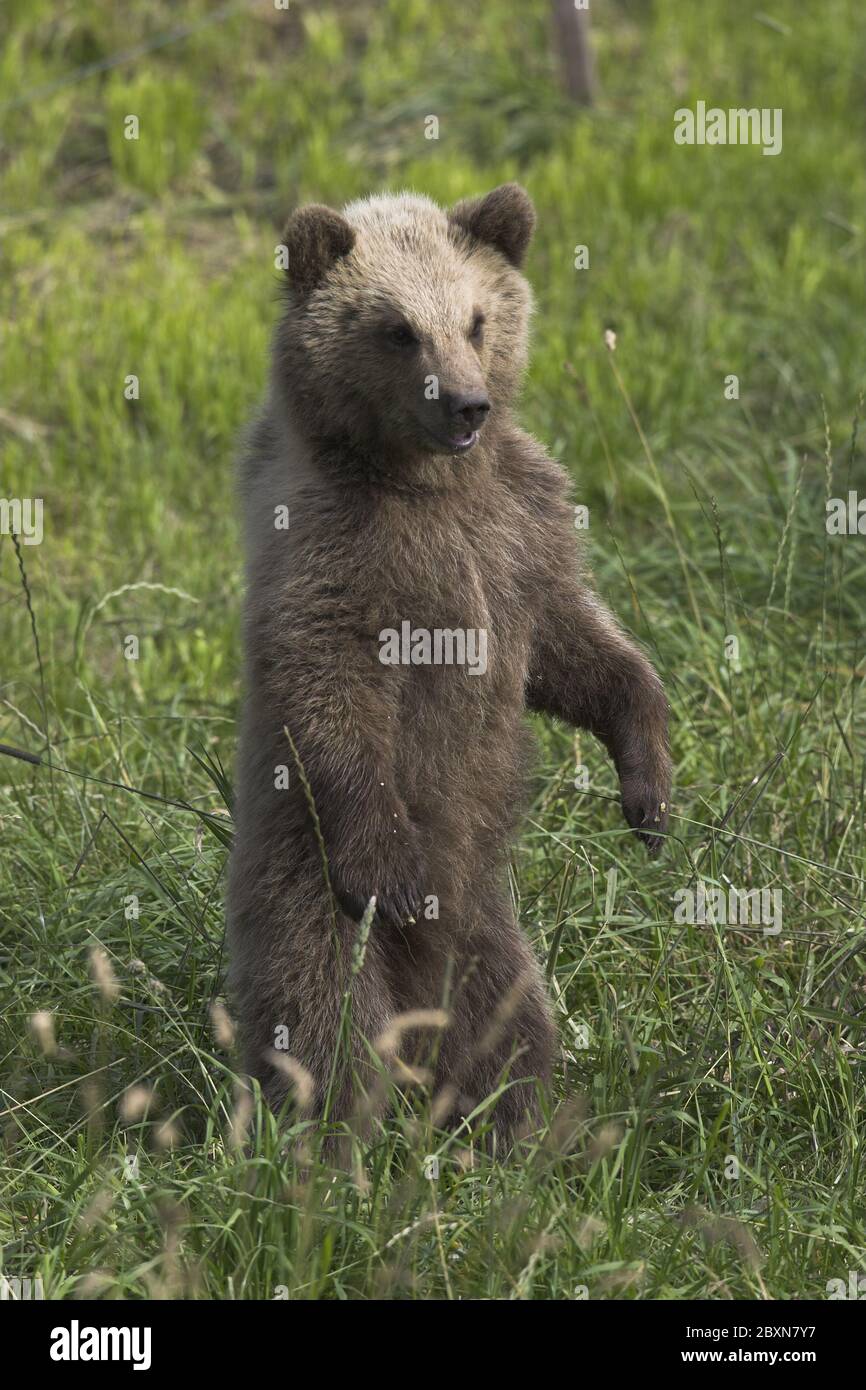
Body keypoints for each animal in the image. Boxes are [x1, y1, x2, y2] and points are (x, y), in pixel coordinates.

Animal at [227, 184, 671, 1146]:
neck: (425, 483)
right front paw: (391, 868)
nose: (467, 406)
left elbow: (577, 646)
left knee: (509, 1021)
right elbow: (330, 683)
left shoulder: (520, 531)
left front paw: (649, 791)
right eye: (397, 328)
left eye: (475, 317)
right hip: (300, 881)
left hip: (486, 925)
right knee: (324, 1023)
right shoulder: (333, 553)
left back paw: (518, 1132)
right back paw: (333, 1148)